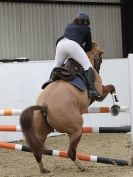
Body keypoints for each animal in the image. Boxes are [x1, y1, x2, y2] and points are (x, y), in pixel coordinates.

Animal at [19, 41, 117, 173]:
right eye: (100, 57)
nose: (98, 69)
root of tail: (44, 106)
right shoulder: (100, 94)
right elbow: (111, 87)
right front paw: (116, 104)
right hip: (76, 129)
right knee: (70, 152)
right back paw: (82, 167)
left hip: (41, 131)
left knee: (37, 150)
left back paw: (44, 169)